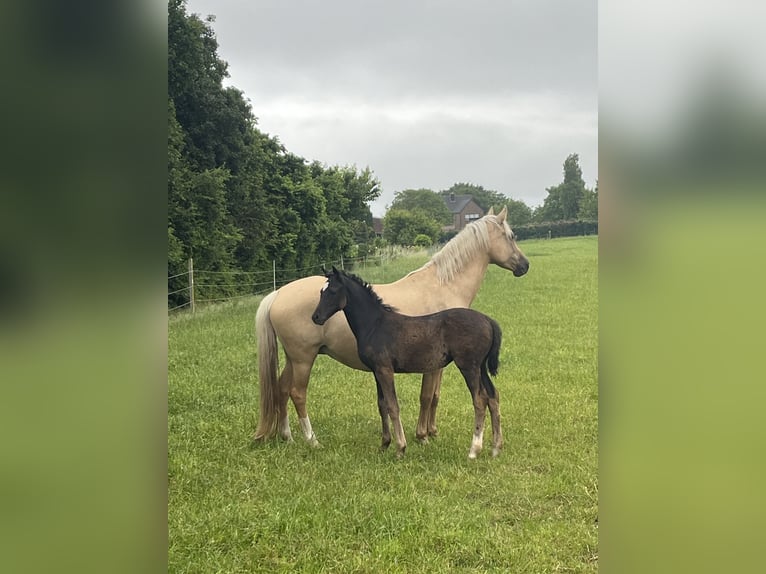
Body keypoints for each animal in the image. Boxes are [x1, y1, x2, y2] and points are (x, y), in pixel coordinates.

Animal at [312, 268, 504, 462]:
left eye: (333, 291)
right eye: (321, 292)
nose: (316, 317)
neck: (375, 325)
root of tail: (488, 320)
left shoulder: (385, 370)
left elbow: (393, 406)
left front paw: (400, 448)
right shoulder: (376, 371)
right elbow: (382, 406)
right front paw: (384, 445)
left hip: (469, 367)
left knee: (480, 400)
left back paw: (474, 450)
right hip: (481, 368)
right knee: (493, 396)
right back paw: (496, 448)